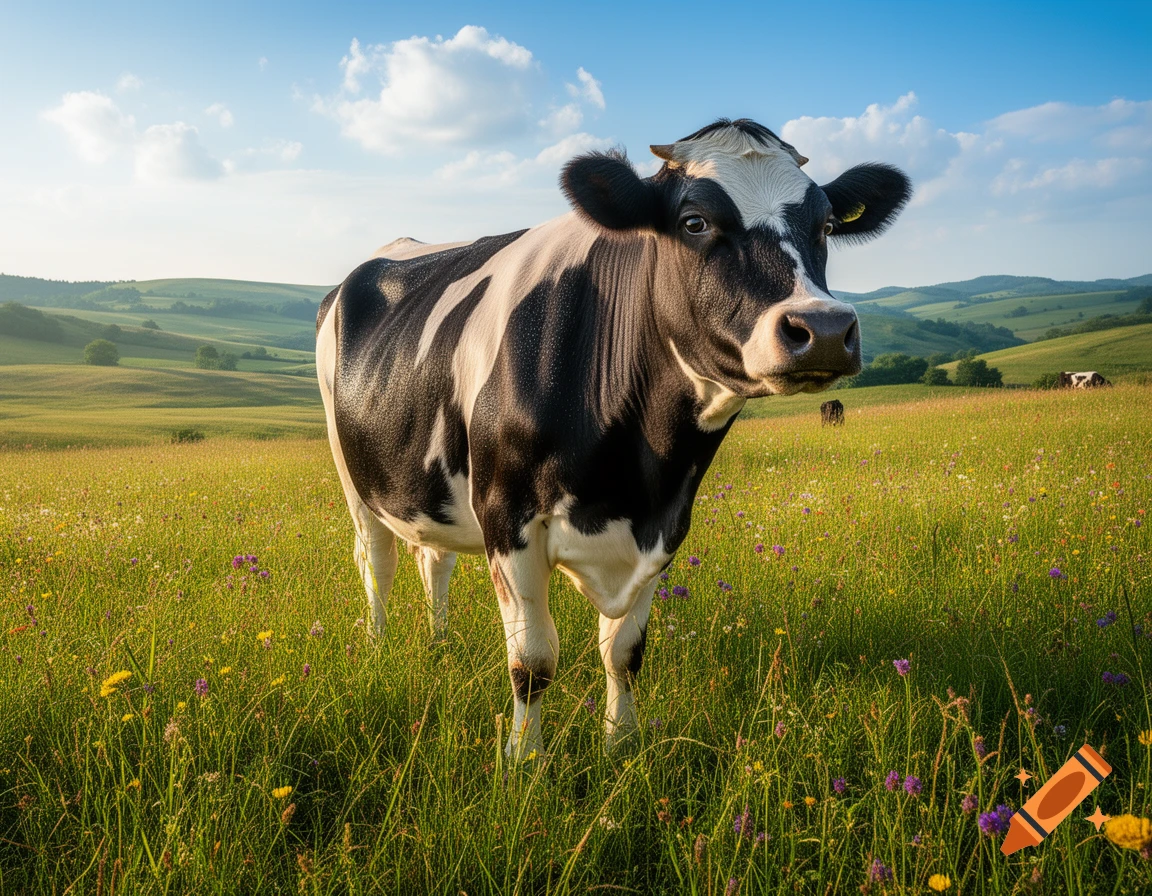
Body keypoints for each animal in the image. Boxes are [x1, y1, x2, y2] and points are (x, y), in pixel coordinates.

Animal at [316, 118, 911, 758]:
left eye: (825, 226)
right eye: (694, 222)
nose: (823, 328)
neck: (636, 471)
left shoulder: (666, 523)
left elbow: (623, 652)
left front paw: (621, 746)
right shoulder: (506, 514)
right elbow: (533, 660)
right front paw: (524, 760)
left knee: (434, 558)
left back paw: (439, 644)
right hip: (354, 474)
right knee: (376, 563)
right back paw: (379, 649)